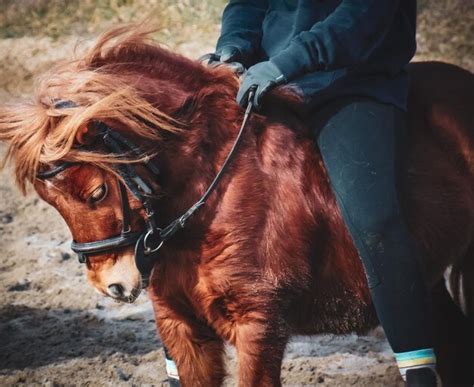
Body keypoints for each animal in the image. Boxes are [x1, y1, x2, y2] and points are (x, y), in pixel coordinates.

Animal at [0, 25, 474, 386]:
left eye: (97, 192)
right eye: (50, 201)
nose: (112, 287)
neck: (209, 197)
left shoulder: (258, 326)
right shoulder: (180, 326)